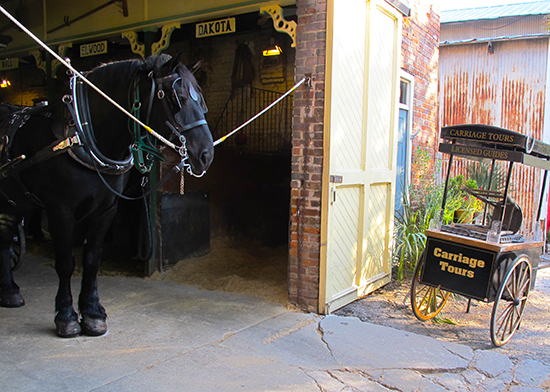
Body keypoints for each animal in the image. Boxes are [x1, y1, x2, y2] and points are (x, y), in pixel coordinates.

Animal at [0, 54, 215, 336]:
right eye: (176, 96)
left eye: (200, 98)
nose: (206, 154)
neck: (82, 134)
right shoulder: (60, 210)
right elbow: (66, 262)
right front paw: (66, 317)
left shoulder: (106, 210)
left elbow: (92, 260)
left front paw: (92, 314)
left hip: (16, 202)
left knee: (5, 235)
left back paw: (10, 291)